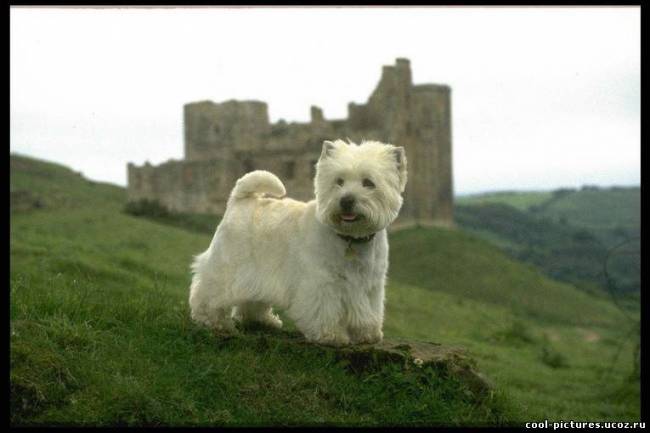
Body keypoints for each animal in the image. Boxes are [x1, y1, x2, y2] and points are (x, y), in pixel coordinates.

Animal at [187, 140, 404, 346]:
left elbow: (368, 311)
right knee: (207, 293)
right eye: (339, 181)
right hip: (228, 267)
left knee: (251, 301)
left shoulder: (370, 285)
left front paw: (367, 334)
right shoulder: (322, 282)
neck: (350, 238)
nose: (346, 201)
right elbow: (325, 310)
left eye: (368, 183)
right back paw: (212, 321)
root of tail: (239, 200)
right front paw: (331, 336)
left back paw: (263, 321)